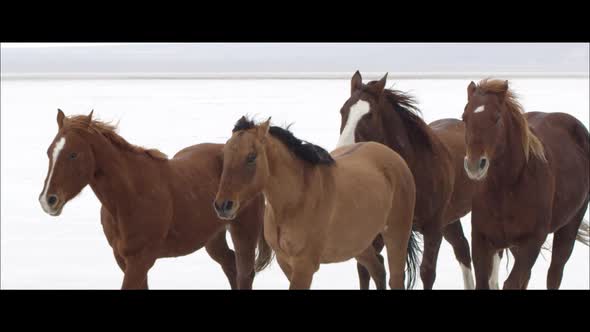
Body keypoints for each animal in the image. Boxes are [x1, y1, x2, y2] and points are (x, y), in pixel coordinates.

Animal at [34, 109, 270, 288]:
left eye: (73, 154)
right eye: (49, 152)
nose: (48, 200)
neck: (130, 196)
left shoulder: (140, 260)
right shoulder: (124, 260)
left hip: (244, 232)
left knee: (245, 274)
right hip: (213, 238)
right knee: (230, 266)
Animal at [213, 116, 420, 288]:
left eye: (251, 157)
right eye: (225, 155)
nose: (223, 205)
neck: (295, 201)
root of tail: (395, 158)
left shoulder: (305, 266)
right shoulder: (285, 262)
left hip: (396, 235)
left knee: (395, 278)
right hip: (358, 243)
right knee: (378, 269)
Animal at [338, 71, 476, 290]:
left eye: (369, 115)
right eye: (342, 111)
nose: (343, 151)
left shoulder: (432, 228)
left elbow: (427, 272)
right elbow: (368, 270)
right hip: (449, 219)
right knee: (462, 247)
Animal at [464, 79, 588, 290]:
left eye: (496, 118)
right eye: (464, 117)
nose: (474, 164)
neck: (505, 189)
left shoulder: (531, 243)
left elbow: (512, 283)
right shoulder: (481, 241)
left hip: (569, 227)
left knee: (554, 273)